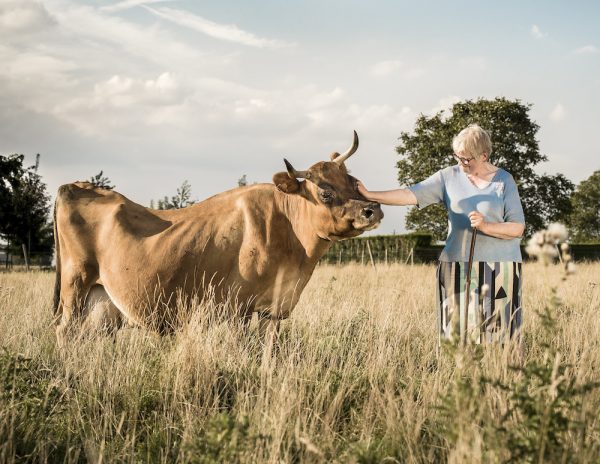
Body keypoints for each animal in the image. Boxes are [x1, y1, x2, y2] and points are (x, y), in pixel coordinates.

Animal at [54, 132, 382, 346]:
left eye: (353, 181)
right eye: (325, 192)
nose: (372, 209)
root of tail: (77, 185)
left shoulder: (273, 309)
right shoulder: (237, 307)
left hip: (101, 300)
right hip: (75, 285)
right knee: (65, 330)